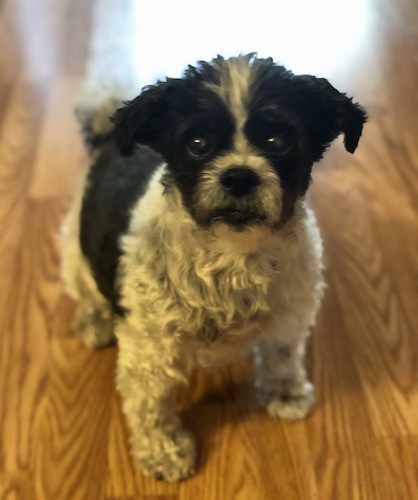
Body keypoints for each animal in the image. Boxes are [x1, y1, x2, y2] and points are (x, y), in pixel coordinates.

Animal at [61, 53, 366, 480]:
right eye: (197, 144)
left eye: (277, 141)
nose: (238, 176)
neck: (232, 257)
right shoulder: (150, 350)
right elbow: (150, 406)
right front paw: (163, 449)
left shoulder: (290, 314)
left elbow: (283, 354)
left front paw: (285, 391)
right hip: (76, 248)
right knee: (85, 287)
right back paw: (94, 318)